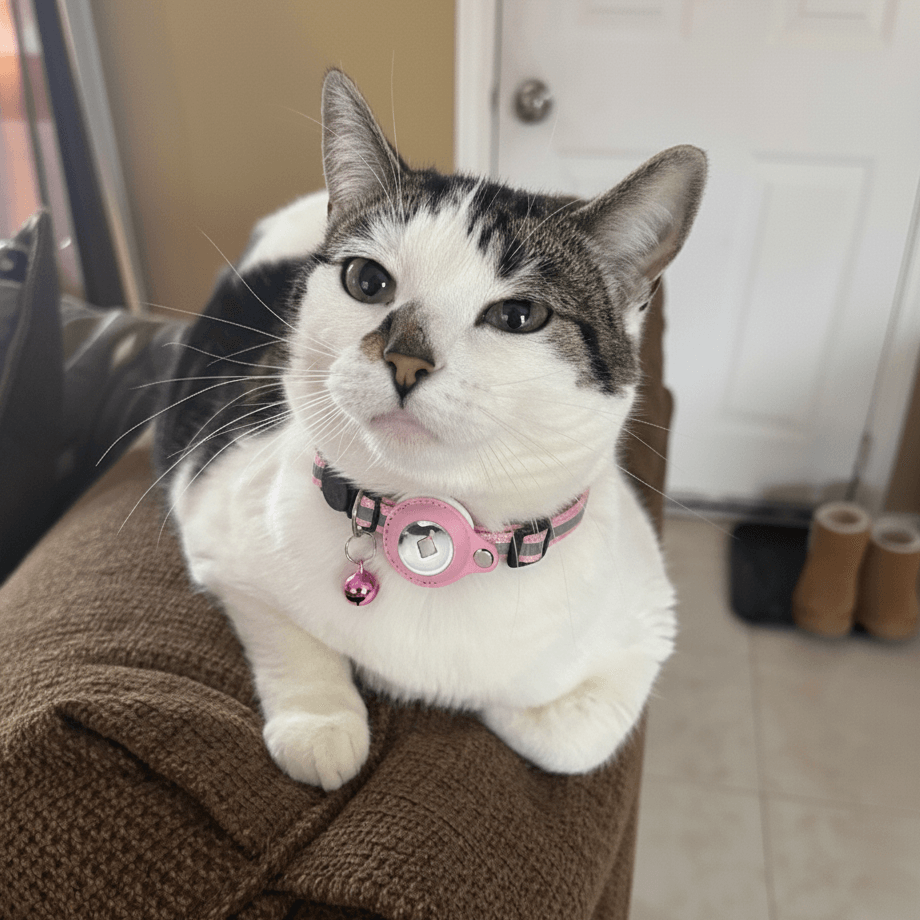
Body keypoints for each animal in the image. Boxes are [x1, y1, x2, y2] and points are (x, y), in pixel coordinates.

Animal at [153, 69, 706, 791]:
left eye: (519, 315)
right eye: (366, 280)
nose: (406, 359)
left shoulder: (648, 620)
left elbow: (565, 734)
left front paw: (462, 694)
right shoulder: (216, 519)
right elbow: (287, 633)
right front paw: (322, 723)